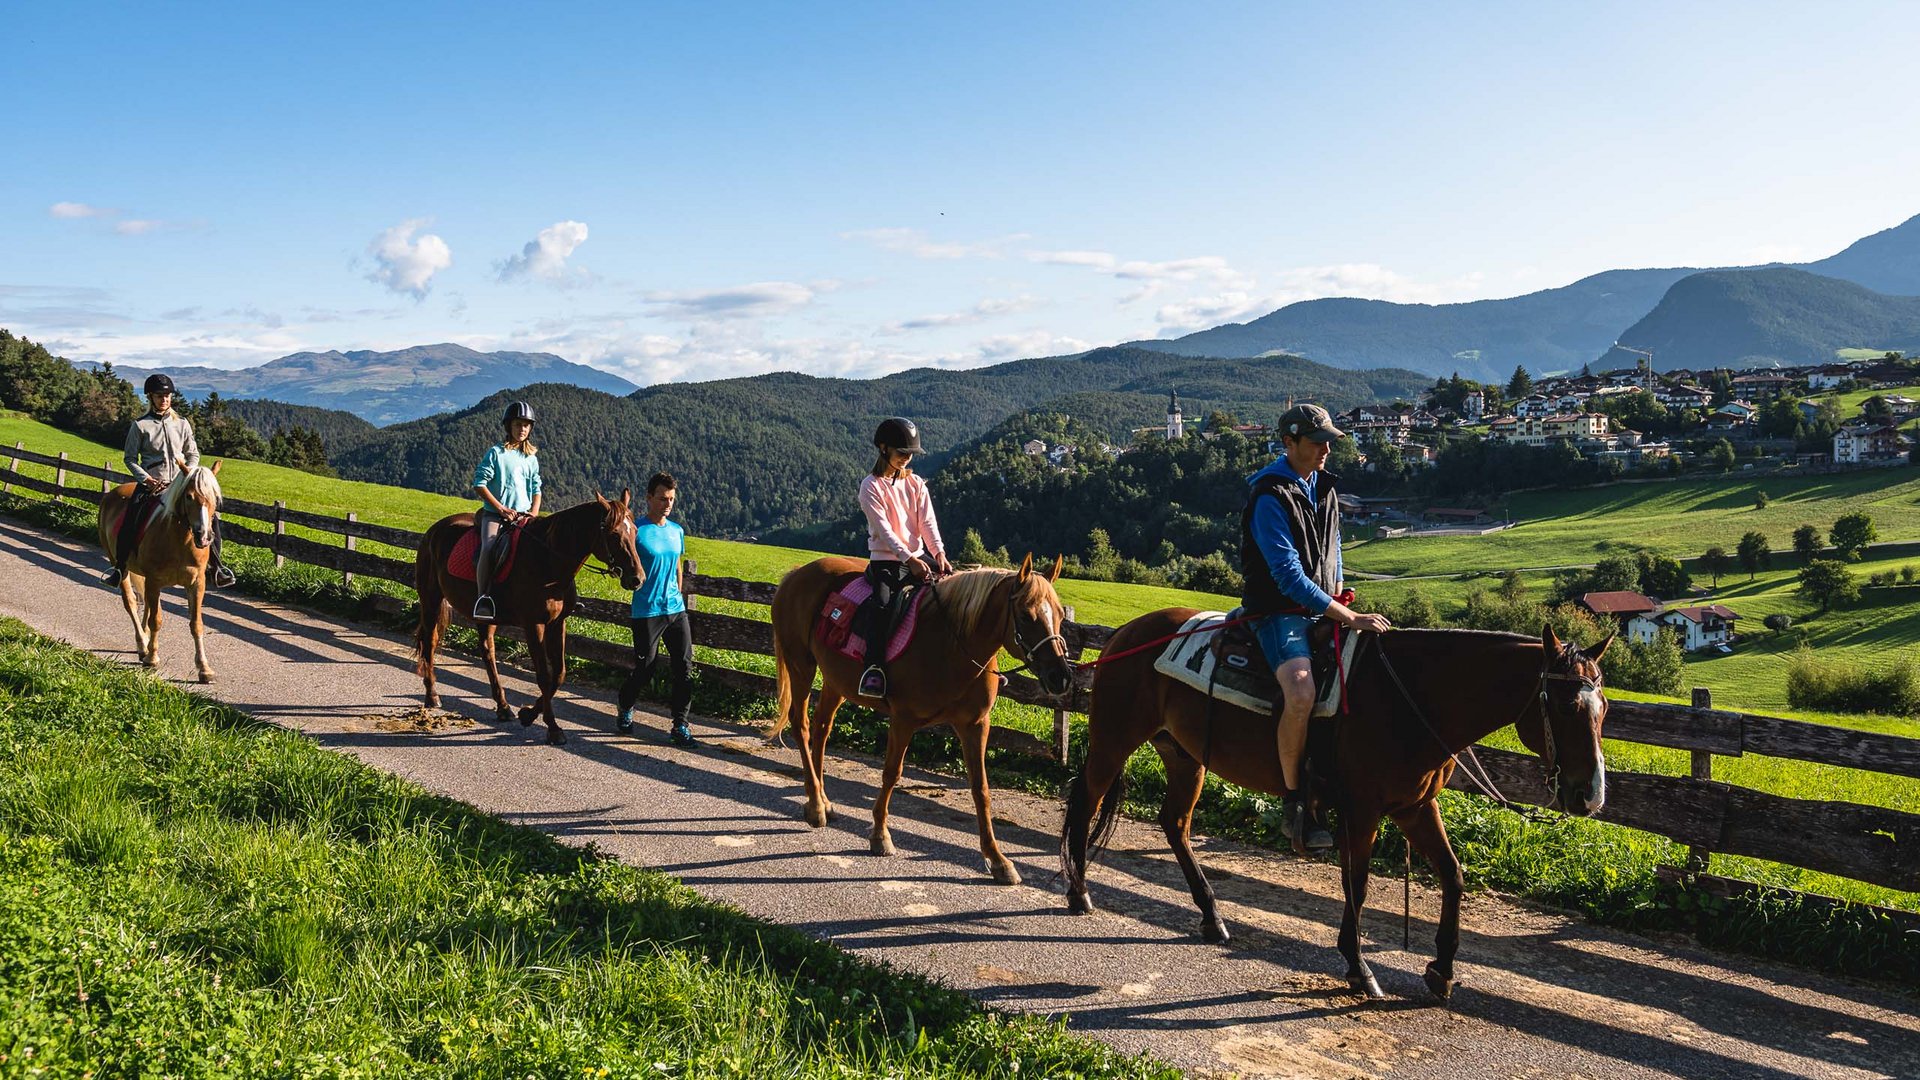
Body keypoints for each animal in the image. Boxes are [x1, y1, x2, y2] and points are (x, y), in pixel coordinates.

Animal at [96, 461, 225, 680]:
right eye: (189, 496)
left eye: (215, 497)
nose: (204, 536)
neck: (180, 540)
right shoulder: (154, 581)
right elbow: (156, 620)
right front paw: (152, 658)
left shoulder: (197, 583)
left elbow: (196, 624)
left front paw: (204, 668)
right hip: (121, 567)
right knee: (131, 603)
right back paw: (142, 645)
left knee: (146, 604)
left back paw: (145, 644)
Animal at [408, 490, 641, 734]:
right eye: (614, 534)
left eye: (634, 531)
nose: (637, 579)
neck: (548, 562)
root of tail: (434, 530)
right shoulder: (533, 625)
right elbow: (544, 676)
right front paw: (552, 728)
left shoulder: (558, 623)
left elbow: (559, 674)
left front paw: (528, 714)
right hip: (431, 600)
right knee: (430, 642)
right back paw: (432, 695)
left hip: (483, 615)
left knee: (487, 650)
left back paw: (503, 707)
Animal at [771, 549, 1090, 880]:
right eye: (1026, 616)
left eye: (1059, 615)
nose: (1060, 677)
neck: (952, 645)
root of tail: (796, 574)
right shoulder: (903, 719)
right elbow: (891, 774)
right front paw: (880, 835)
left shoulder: (976, 725)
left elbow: (981, 788)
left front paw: (998, 860)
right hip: (801, 665)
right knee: (801, 725)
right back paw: (815, 807)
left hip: (835, 681)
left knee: (821, 728)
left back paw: (823, 801)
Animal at [1059, 614, 1612, 999]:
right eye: (1567, 706)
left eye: (1604, 709)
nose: (1590, 795)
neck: (1409, 698)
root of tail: (1127, 634)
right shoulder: (1362, 810)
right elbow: (1358, 884)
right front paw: (1358, 967)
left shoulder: (1415, 807)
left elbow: (1453, 876)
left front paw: (1442, 970)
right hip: (1114, 739)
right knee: (1085, 802)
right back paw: (1079, 893)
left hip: (1184, 755)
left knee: (1174, 824)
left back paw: (1212, 916)